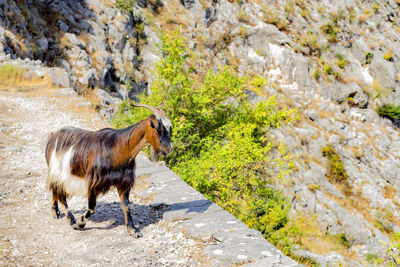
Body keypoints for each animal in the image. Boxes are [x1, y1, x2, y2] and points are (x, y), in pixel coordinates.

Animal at [44, 103, 172, 238]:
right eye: (158, 129)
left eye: (169, 128)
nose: (169, 149)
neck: (117, 149)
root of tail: (53, 136)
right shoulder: (93, 181)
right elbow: (92, 208)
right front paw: (80, 223)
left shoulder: (123, 182)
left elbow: (126, 205)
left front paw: (133, 230)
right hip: (59, 171)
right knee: (60, 193)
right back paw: (70, 219)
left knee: (56, 189)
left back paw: (55, 211)